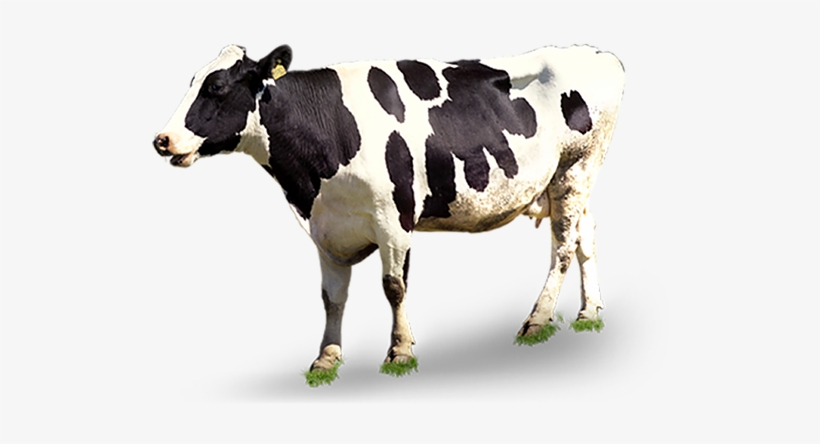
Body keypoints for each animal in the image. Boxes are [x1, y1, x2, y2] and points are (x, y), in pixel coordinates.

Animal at [153, 44, 625, 383]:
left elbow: (394, 287)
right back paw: (589, 311)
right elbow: (332, 298)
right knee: (586, 236)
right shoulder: (326, 227)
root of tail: (598, 53)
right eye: (192, 81)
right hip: (569, 183)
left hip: (575, 169)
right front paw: (327, 357)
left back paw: (537, 320)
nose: (162, 139)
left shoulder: (394, 219)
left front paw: (400, 351)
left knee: (562, 247)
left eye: (216, 87)